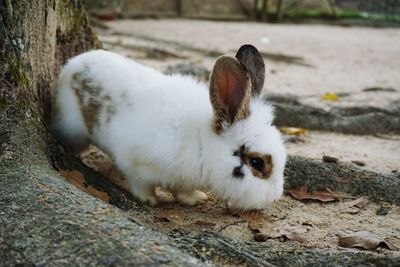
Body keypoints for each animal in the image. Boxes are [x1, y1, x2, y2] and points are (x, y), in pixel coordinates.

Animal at [53, 45, 286, 210]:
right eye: (256, 163)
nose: (275, 197)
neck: (202, 144)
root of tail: (72, 64)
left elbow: (182, 190)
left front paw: (194, 199)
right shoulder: (134, 162)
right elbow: (140, 184)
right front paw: (149, 200)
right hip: (74, 132)